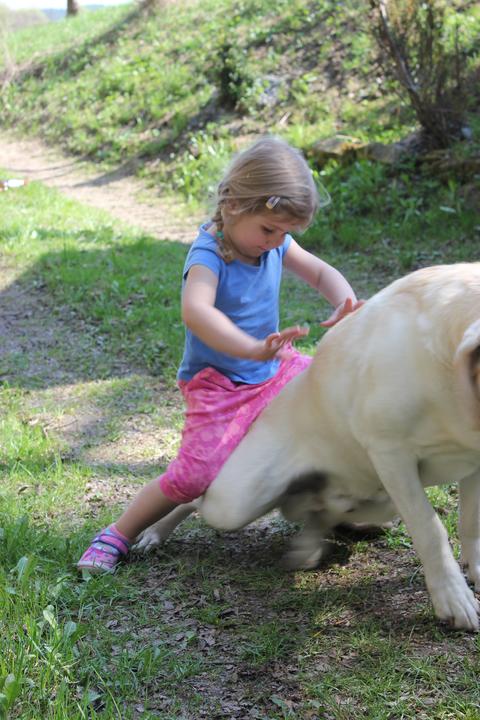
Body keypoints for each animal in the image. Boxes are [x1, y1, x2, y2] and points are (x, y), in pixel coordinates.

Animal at [137, 263, 480, 631]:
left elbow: (470, 524)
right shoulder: (391, 454)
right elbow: (430, 529)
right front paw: (454, 599)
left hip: (379, 499)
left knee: (324, 511)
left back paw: (308, 546)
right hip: (235, 500)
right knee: (195, 497)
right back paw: (153, 532)